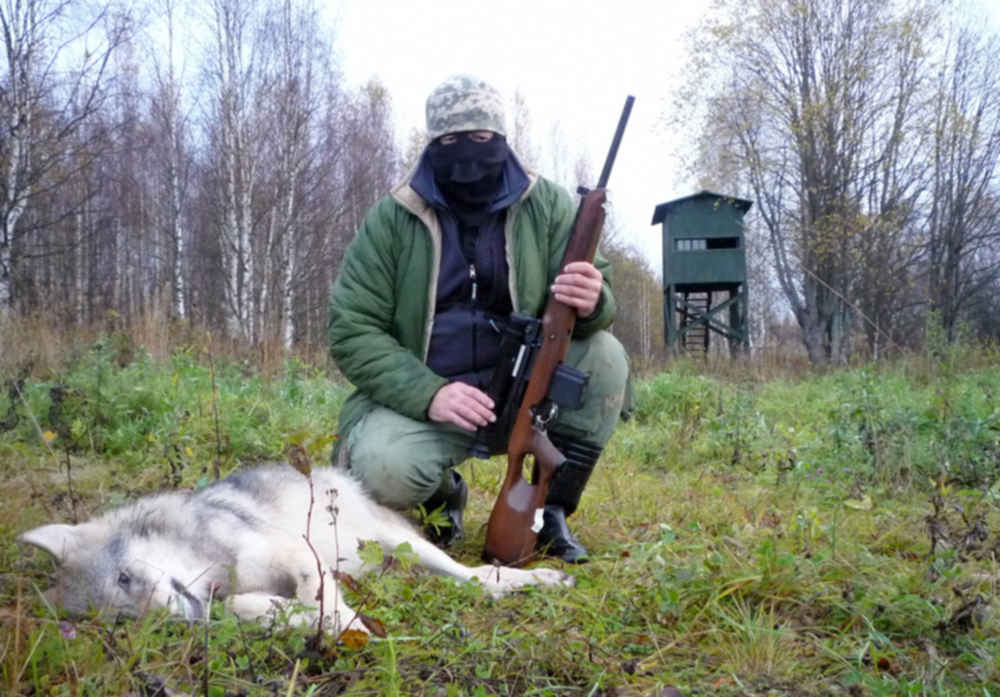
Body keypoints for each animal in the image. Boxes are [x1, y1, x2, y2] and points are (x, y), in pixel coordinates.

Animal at [18, 463, 573, 635]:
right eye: (123, 622)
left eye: (125, 578)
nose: (183, 624)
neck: (216, 572)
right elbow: (248, 606)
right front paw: (293, 617)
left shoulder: (294, 552)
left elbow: (321, 598)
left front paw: (338, 626)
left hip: (411, 547)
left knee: (480, 579)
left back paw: (542, 579)